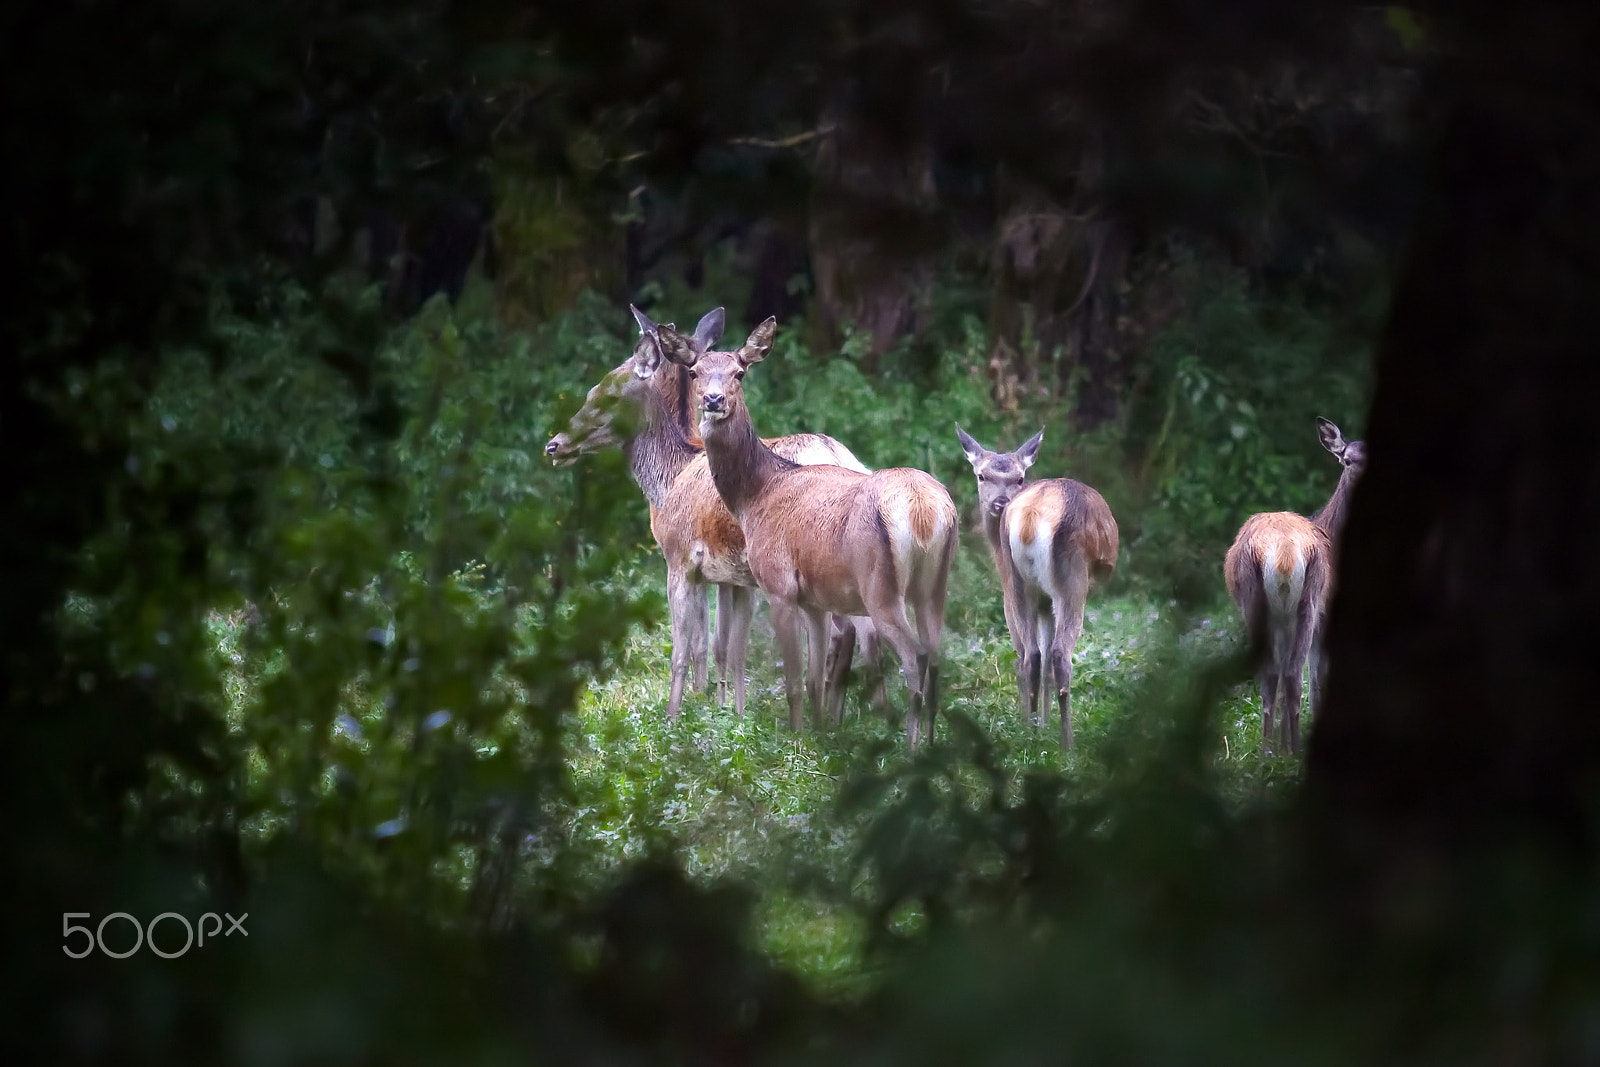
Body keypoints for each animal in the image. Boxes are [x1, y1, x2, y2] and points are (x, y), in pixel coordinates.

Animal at [544, 303, 883, 723]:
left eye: (605, 392)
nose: (555, 444)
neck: (670, 478)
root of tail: (840, 455)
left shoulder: (681, 559)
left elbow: (690, 647)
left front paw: (682, 715)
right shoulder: (732, 575)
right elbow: (727, 647)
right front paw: (728, 712)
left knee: (844, 631)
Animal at [656, 313, 953, 748]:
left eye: (740, 372)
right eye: (695, 372)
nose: (713, 400)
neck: (756, 496)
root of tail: (925, 510)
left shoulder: (777, 583)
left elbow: (794, 678)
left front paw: (795, 742)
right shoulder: (814, 599)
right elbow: (812, 678)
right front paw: (818, 734)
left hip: (880, 588)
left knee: (914, 655)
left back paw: (911, 745)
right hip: (935, 585)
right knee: (936, 655)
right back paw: (932, 744)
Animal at [1222, 412, 1363, 755]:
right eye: (1347, 460)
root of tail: (1284, 552)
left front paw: (1282, 741)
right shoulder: (1326, 620)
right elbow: (1319, 681)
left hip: (1256, 600)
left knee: (1273, 673)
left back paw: (1269, 749)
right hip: (1309, 601)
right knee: (1292, 674)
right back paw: (1295, 750)